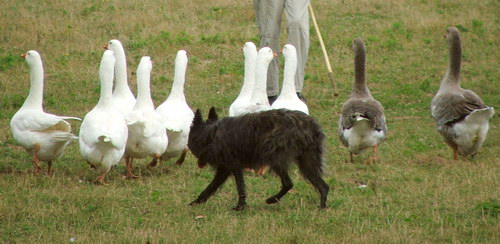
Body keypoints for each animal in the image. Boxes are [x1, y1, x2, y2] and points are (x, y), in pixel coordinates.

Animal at [188, 107, 328, 211]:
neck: (210, 135)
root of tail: (310, 125)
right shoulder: (225, 170)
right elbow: (211, 187)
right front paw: (197, 202)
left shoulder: (232, 167)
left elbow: (239, 188)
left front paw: (239, 207)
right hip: (308, 164)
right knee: (323, 186)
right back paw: (321, 208)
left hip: (276, 159)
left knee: (288, 183)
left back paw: (272, 200)